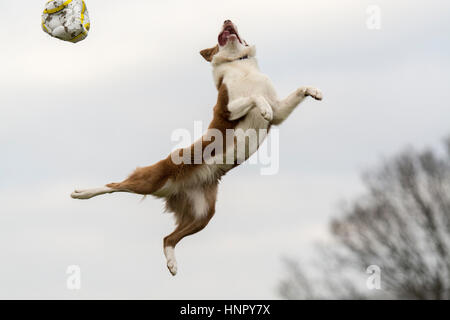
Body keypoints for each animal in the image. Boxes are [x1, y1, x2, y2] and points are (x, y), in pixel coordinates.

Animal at [71, 19, 324, 276]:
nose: (227, 19)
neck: (239, 64)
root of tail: (174, 188)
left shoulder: (279, 111)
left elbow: (293, 93)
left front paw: (313, 91)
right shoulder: (226, 109)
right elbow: (254, 99)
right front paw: (262, 108)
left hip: (203, 214)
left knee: (168, 238)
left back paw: (172, 263)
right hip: (153, 179)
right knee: (114, 185)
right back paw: (82, 193)